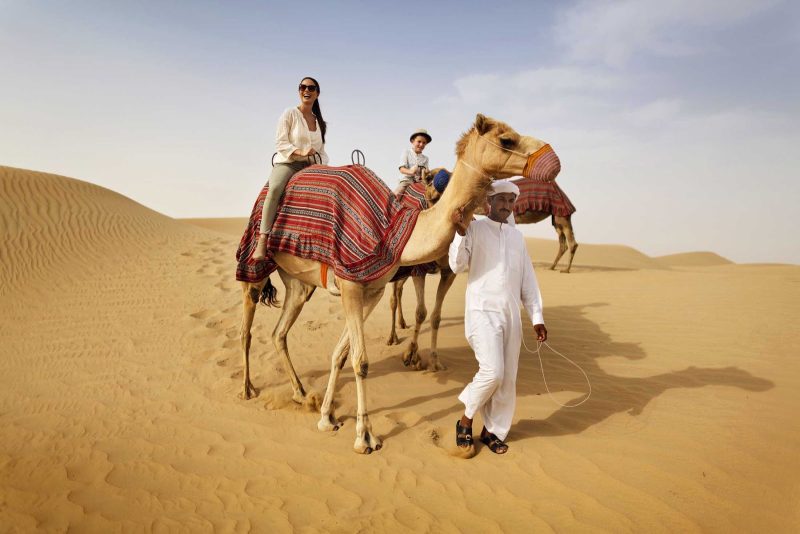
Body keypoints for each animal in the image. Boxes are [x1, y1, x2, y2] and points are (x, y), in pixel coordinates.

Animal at [387, 172, 577, 371]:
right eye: (431, 198)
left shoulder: (448, 272)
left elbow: (436, 316)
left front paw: (434, 361)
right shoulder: (419, 270)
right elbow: (420, 312)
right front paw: (412, 355)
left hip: (559, 215)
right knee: (394, 294)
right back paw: (393, 336)